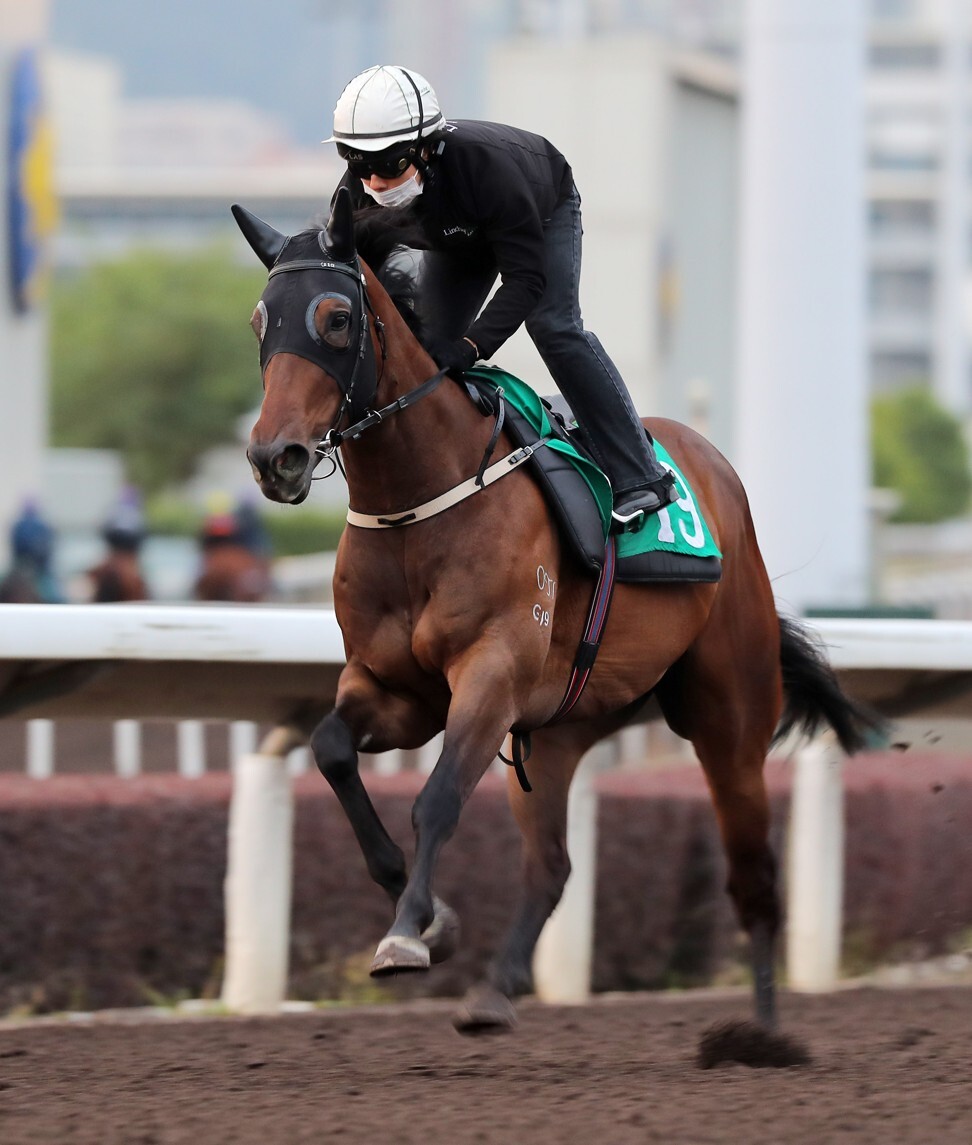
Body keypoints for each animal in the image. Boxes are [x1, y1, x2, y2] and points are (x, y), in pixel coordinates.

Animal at [236, 190, 879, 1039]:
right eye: (260, 321)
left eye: (336, 318)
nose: (273, 457)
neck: (419, 503)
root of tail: (710, 463)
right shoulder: (397, 687)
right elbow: (332, 748)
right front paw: (432, 916)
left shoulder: (491, 672)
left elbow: (438, 797)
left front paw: (408, 931)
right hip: (563, 727)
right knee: (552, 865)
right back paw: (495, 991)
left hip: (731, 716)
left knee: (753, 869)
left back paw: (764, 1034)